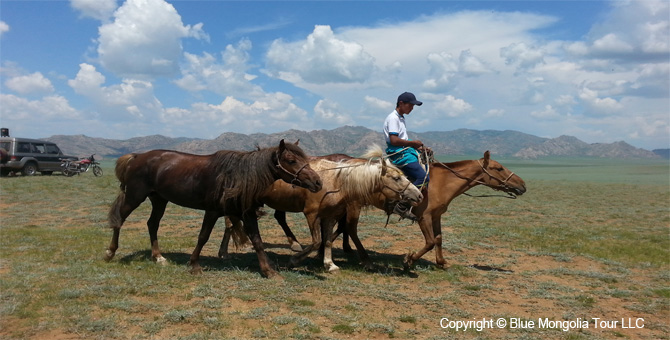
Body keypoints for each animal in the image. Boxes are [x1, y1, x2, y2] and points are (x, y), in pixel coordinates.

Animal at [106, 139, 324, 278]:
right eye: (291, 160)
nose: (318, 182)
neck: (238, 177)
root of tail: (137, 156)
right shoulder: (212, 212)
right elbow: (203, 236)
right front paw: (194, 265)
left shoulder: (246, 214)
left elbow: (257, 241)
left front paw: (268, 271)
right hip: (135, 196)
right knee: (119, 219)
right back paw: (110, 252)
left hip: (159, 200)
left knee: (152, 224)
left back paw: (158, 257)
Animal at [219, 145, 426, 272]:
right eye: (397, 178)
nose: (419, 195)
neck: (335, 182)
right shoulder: (312, 214)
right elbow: (319, 240)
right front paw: (294, 261)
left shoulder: (330, 216)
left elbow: (327, 240)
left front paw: (329, 263)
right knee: (230, 224)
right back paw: (224, 253)